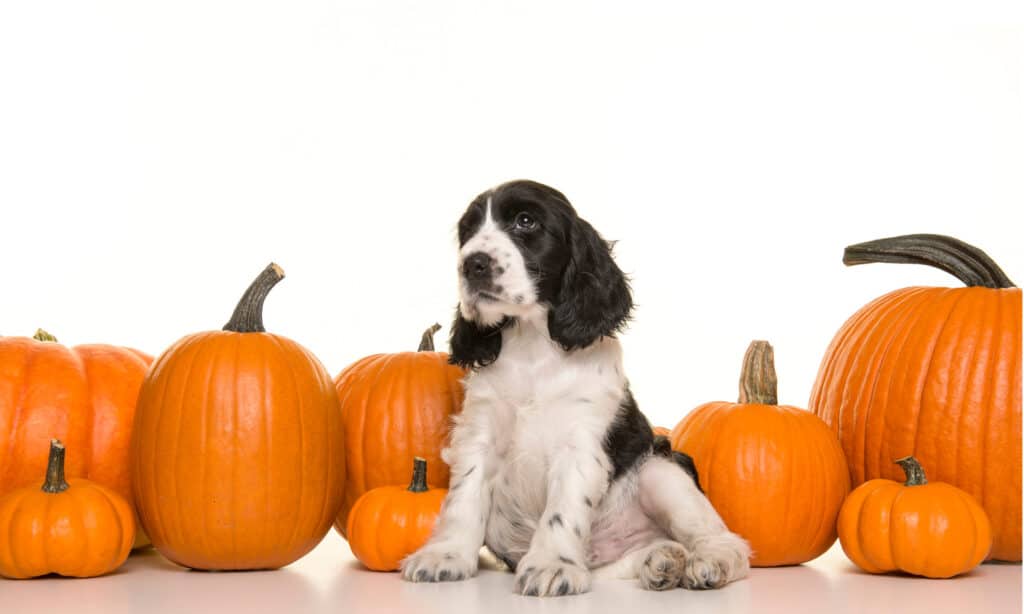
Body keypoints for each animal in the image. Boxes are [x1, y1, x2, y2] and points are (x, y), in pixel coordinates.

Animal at [401, 177, 753, 593]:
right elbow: (463, 499)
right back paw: (663, 561)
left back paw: (707, 563)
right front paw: (445, 556)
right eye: (467, 232)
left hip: (660, 470)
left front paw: (552, 565)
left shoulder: (582, 442)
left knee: (725, 540)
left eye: (525, 221)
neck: (534, 346)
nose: (472, 263)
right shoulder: (479, 434)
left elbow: (562, 509)